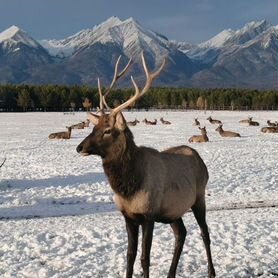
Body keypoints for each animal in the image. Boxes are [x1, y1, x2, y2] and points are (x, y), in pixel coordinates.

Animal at [76, 52, 217, 278]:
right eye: (93, 127)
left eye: (107, 130)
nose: (80, 147)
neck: (128, 187)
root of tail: (200, 160)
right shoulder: (128, 216)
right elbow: (130, 256)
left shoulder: (148, 214)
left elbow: (144, 258)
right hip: (173, 210)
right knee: (181, 233)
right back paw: (171, 274)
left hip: (198, 197)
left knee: (204, 233)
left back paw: (212, 272)